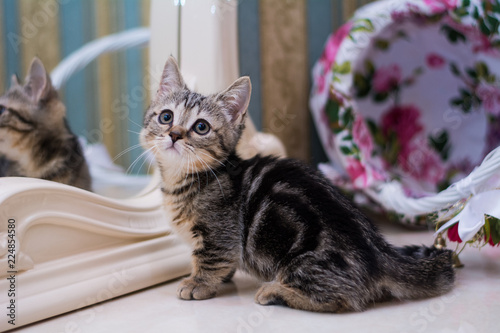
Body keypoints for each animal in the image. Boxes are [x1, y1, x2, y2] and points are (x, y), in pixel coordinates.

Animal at [140, 57, 454, 312]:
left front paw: (198, 283)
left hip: (303, 260)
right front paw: (222, 278)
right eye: (166, 117)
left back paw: (276, 292)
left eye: (201, 127)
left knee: (343, 299)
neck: (182, 181)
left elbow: (210, 259)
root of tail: (379, 253)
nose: (175, 134)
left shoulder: (220, 233)